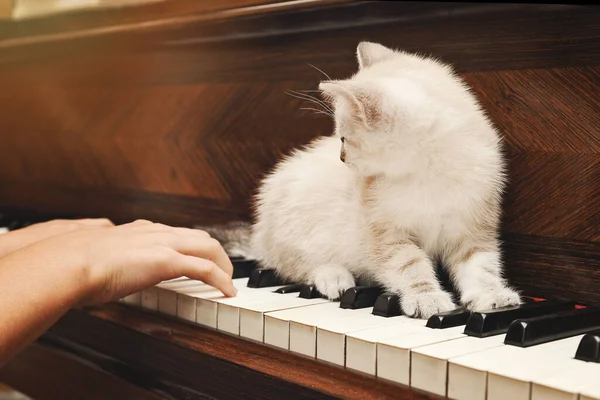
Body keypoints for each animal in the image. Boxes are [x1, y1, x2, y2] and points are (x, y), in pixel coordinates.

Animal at [202, 42, 520, 318]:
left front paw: (492, 295)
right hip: (296, 223)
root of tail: (259, 233)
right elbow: (410, 266)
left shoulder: (473, 229)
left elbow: (481, 266)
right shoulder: (386, 235)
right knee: (293, 264)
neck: (429, 174)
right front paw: (426, 297)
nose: (341, 158)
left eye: (344, 138)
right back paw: (333, 276)